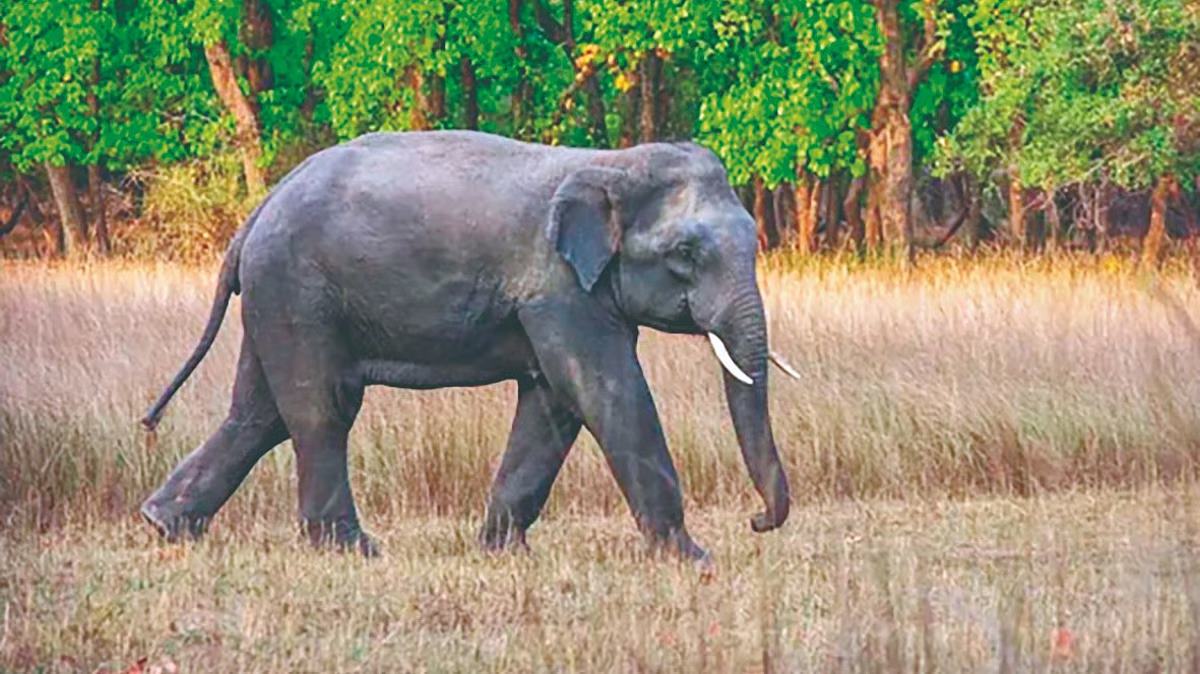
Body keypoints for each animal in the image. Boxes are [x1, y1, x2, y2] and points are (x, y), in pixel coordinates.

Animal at [140, 130, 796, 562]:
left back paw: (167, 527)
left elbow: (553, 403)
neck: (608, 164)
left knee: (259, 414)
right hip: (299, 292)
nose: (756, 521)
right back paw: (354, 550)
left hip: (277, 297)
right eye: (685, 254)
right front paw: (693, 558)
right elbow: (608, 393)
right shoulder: (556, 287)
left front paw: (503, 552)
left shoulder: (562, 297)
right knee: (322, 409)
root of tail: (256, 215)